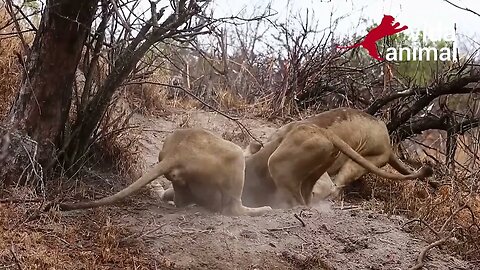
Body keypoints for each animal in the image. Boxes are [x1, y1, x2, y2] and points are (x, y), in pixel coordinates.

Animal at [51, 127, 274, 216]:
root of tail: (176, 154)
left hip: (181, 179)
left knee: (177, 199)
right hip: (233, 159)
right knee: (232, 208)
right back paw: (263, 210)